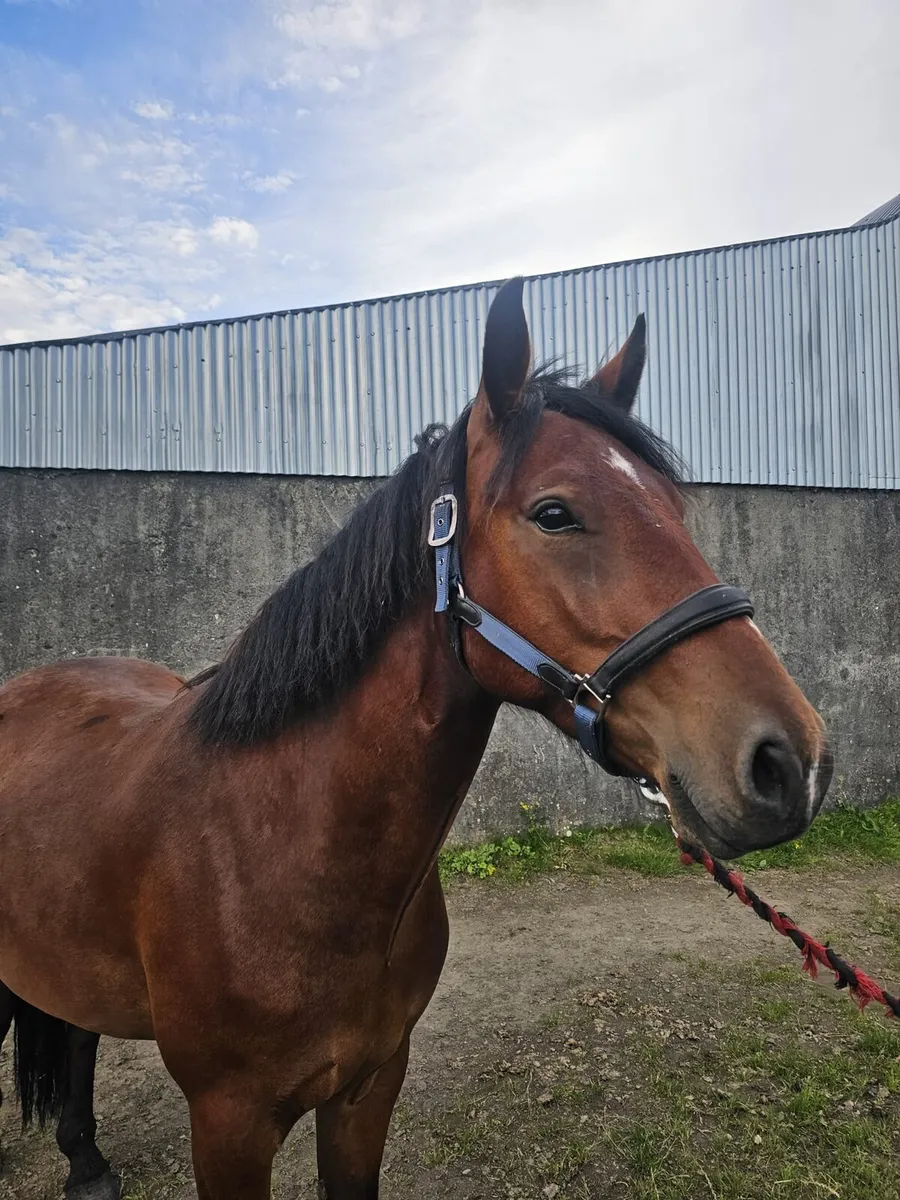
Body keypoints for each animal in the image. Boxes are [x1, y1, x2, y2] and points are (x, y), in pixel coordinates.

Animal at [0, 278, 832, 1199]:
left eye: (674, 507)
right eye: (554, 513)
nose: (789, 761)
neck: (277, 848)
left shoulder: (369, 1089)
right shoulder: (227, 1125)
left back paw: (86, 1163)